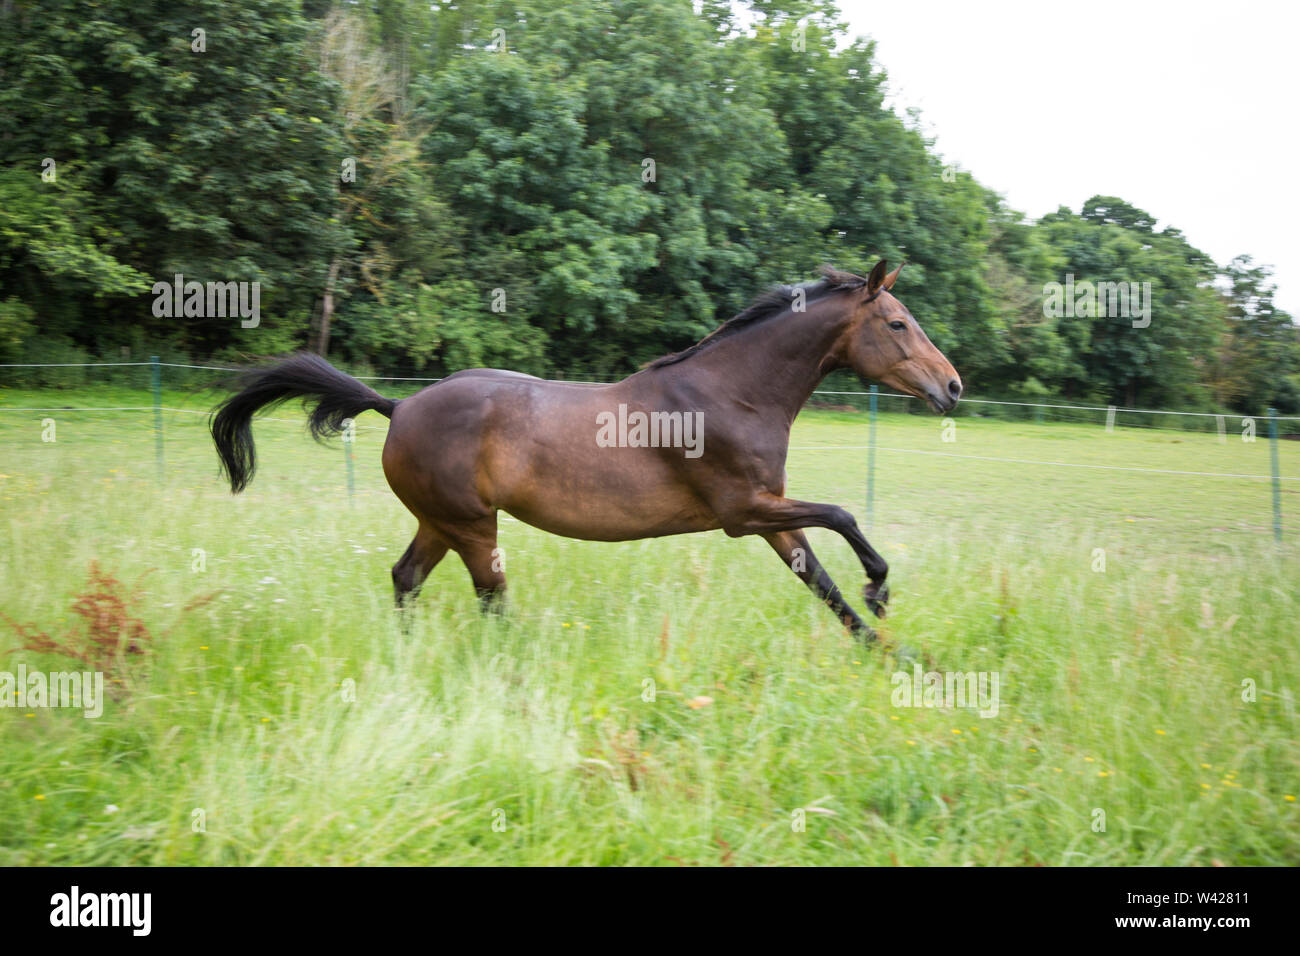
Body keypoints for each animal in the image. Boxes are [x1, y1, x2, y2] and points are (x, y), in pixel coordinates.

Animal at [213, 260, 961, 642]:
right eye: (898, 323)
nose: (952, 387)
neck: (734, 393)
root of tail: (399, 406)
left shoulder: (767, 512)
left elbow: (820, 579)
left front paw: (881, 646)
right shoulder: (743, 510)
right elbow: (842, 516)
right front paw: (881, 591)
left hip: (439, 521)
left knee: (406, 578)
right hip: (471, 525)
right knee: (489, 597)